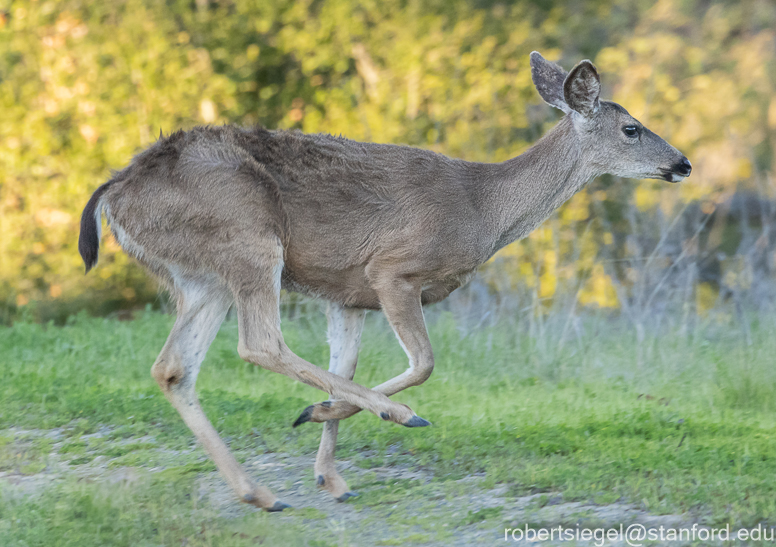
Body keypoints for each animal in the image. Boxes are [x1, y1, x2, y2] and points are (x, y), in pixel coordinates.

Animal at [77, 51, 692, 510]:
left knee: (173, 367)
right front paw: (355, 415)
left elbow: (343, 369)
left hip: (201, 275)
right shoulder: (393, 269)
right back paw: (385, 421)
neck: (482, 209)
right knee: (259, 343)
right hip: (247, 235)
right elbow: (423, 364)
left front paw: (330, 471)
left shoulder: (346, 294)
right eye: (631, 128)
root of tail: (115, 190)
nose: (683, 164)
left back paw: (260, 493)